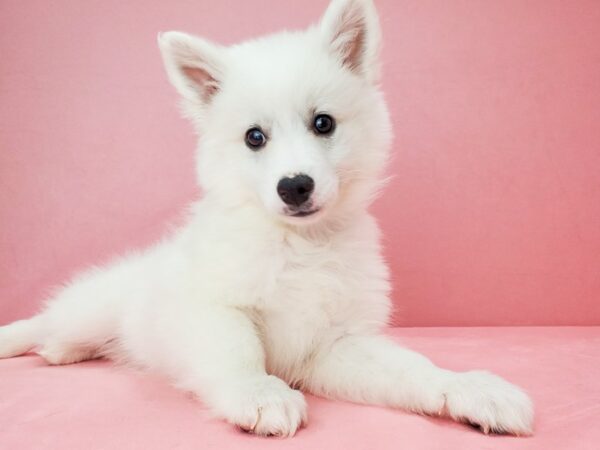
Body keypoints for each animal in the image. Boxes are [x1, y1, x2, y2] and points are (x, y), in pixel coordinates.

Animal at [0, 0, 536, 438]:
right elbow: (239, 351)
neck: (299, 243)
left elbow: (412, 368)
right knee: (47, 319)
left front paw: (467, 388)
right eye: (254, 137)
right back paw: (39, 344)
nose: (294, 186)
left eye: (323, 123)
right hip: (92, 307)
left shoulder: (335, 344)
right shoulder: (215, 307)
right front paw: (259, 394)